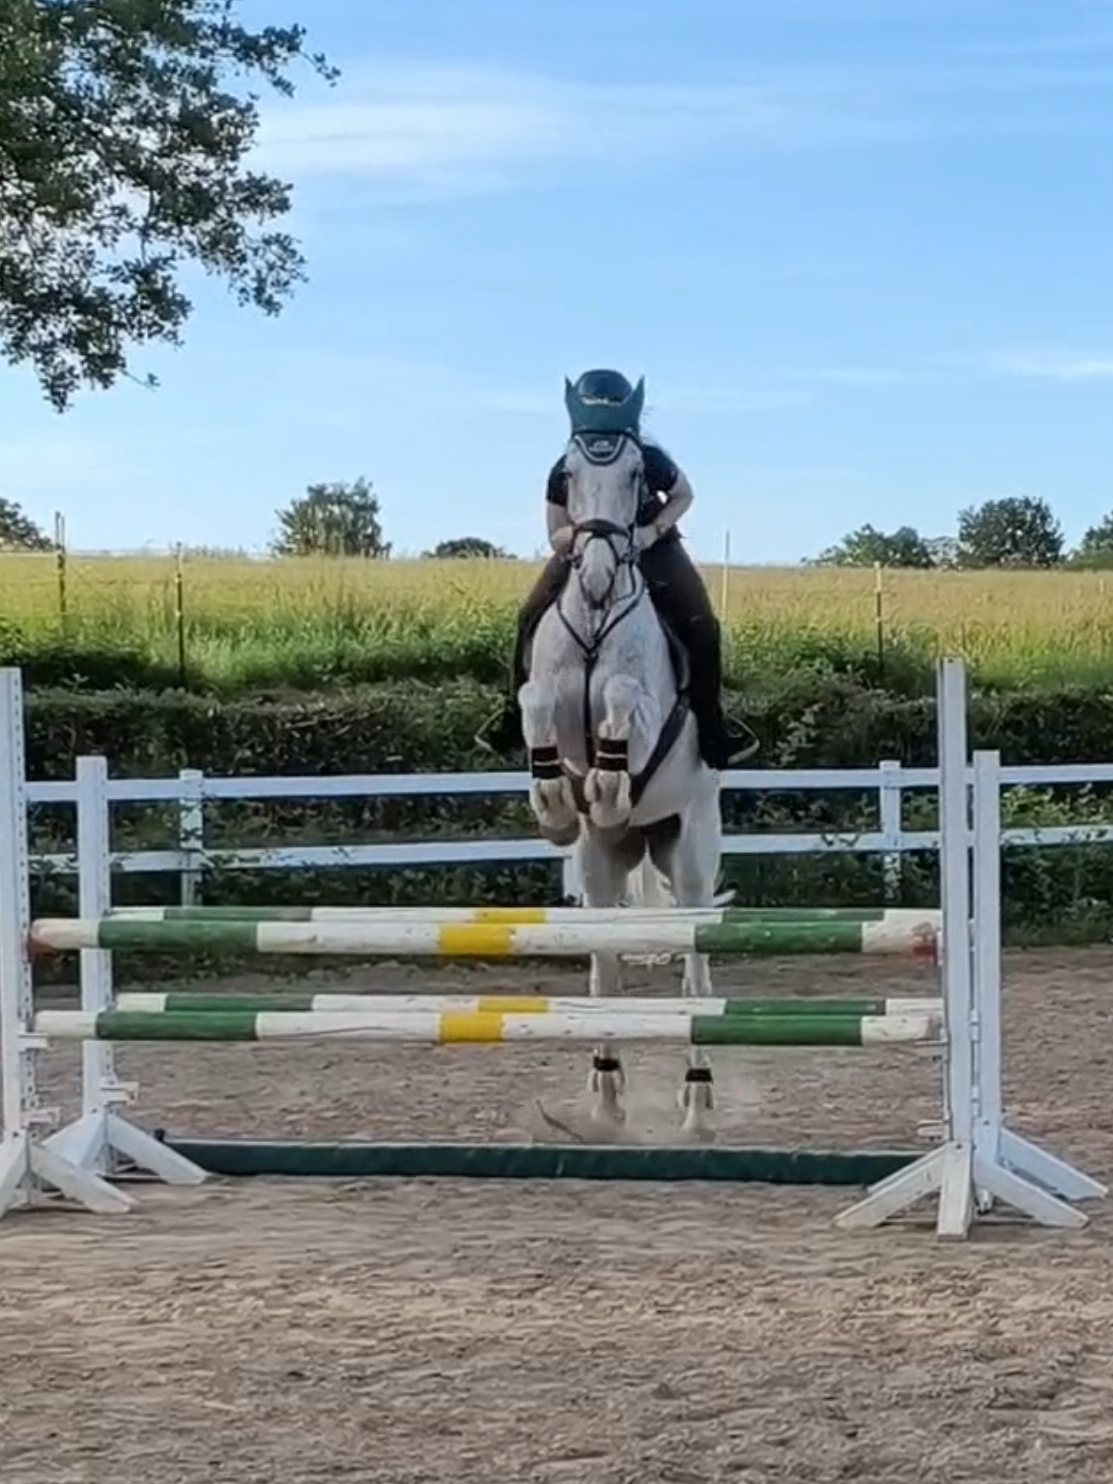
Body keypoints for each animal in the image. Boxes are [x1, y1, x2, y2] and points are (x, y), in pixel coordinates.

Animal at [518, 379, 725, 1140]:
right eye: (569, 474)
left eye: (639, 476)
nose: (602, 571)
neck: (598, 614)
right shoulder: (544, 696)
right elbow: (536, 702)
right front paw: (552, 803)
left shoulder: (644, 707)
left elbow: (621, 697)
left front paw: (607, 786)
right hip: (603, 867)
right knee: (605, 970)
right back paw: (606, 1100)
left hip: (688, 852)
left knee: (696, 971)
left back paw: (697, 1104)